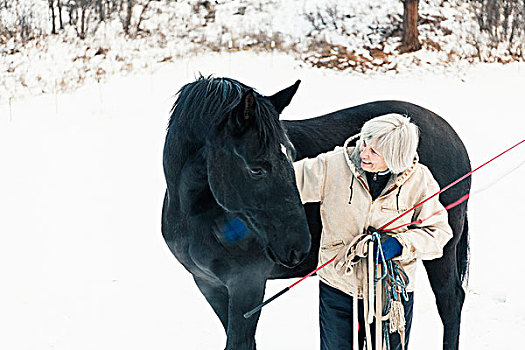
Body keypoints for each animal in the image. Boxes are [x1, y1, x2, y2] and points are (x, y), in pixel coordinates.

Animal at [162, 77, 468, 350]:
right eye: (256, 169)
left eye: (291, 155)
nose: (298, 246)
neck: (195, 215)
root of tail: (451, 135)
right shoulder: (209, 285)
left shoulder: (247, 285)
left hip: (442, 253)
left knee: (450, 301)